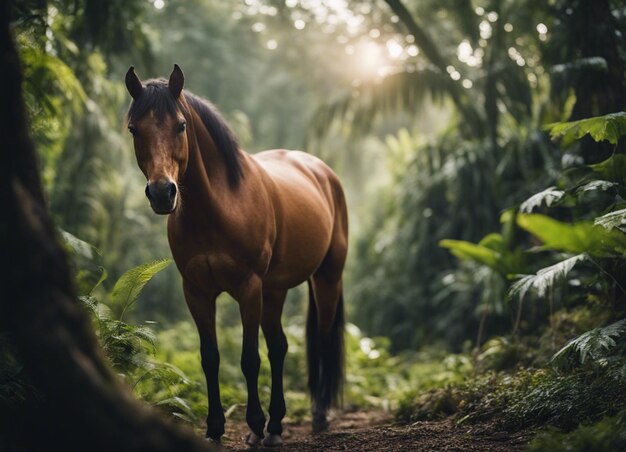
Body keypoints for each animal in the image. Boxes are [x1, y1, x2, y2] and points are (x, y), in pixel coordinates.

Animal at [124, 65, 348, 446]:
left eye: (181, 125)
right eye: (134, 129)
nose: (162, 193)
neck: (218, 206)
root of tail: (322, 171)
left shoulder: (248, 287)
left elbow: (248, 359)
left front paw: (254, 424)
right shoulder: (197, 292)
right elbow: (210, 357)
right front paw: (216, 428)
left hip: (324, 279)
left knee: (320, 336)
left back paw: (316, 414)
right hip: (275, 290)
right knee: (279, 346)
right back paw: (276, 426)